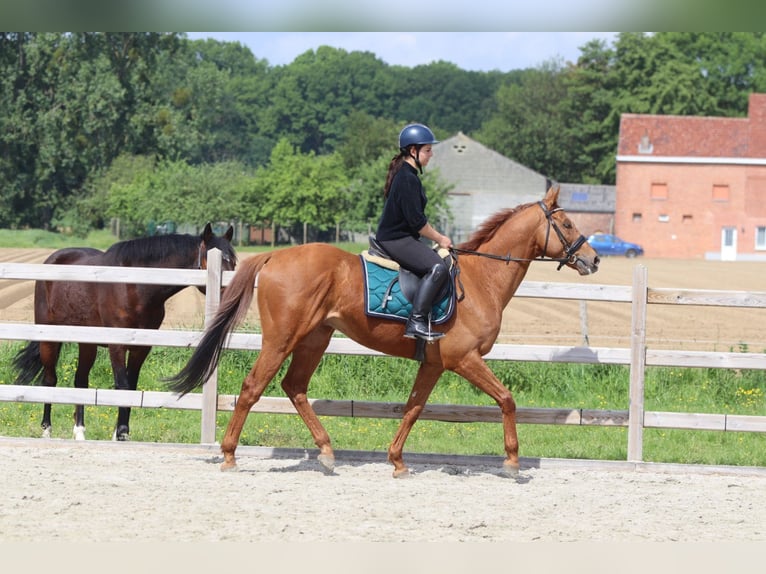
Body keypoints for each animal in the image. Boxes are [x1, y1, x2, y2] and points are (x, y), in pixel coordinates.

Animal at [12, 223, 237, 441]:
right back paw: (46, 429)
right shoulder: (117, 345)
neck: (136, 286)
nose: (232, 298)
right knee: (49, 380)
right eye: (217, 260)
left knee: (80, 381)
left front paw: (120, 432)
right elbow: (122, 385)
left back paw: (79, 431)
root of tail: (53, 259)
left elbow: (131, 387)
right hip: (49, 339)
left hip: (87, 344)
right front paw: (120, 432)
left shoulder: (141, 348)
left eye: (234, 262)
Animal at [166, 185, 599, 478]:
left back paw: (327, 452)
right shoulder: (464, 358)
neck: (481, 279)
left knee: (295, 387)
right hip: (282, 338)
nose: (593, 260)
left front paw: (397, 461)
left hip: (315, 339)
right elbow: (507, 400)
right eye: (566, 223)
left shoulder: (435, 363)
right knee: (253, 387)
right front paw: (512, 460)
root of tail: (275, 255)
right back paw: (229, 455)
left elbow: (413, 408)